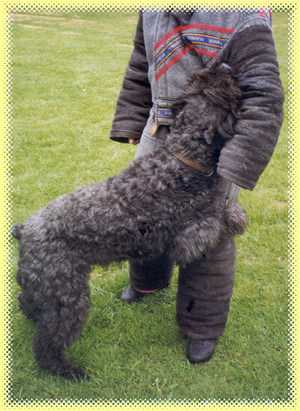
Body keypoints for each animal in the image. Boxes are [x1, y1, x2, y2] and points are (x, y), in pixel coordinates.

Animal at [12, 62, 246, 382]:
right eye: (219, 89)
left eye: (196, 83)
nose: (224, 64)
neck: (181, 158)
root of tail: (25, 229)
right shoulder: (190, 238)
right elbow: (215, 216)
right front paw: (235, 216)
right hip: (68, 297)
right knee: (48, 342)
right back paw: (68, 370)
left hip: (45, 286)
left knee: (27, 301)